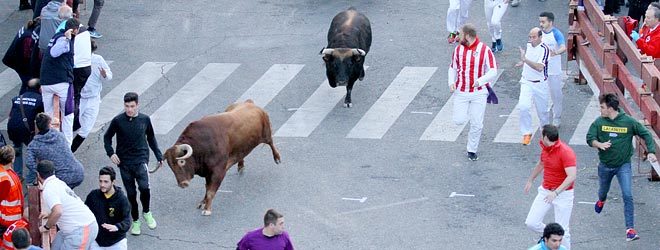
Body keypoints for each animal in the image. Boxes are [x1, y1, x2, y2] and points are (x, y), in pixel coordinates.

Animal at [150, 99, 282, 215]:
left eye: (181, 161)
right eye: (170, 166)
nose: (183, 184)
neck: (200, 146)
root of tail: (249, 102)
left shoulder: (218, 172)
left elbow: (211, 191)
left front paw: (207, 209)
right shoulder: (208, 173)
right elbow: (207, 188)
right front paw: (203, 202)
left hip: (266, 133)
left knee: (271, 142)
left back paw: (277, 158)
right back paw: (240, 166)